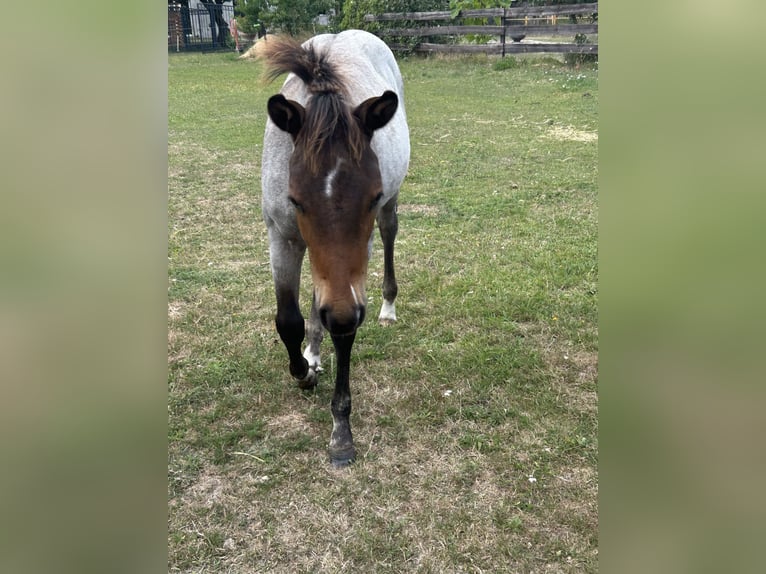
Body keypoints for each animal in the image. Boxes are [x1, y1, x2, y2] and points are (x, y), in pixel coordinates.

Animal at [256, 30, 410, 467]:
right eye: (295, 200)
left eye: (371, 197)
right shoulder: (283, 237)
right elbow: (288, 319)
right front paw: (304, 369)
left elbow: (343, 325)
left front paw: (341, 431)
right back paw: (312, 351)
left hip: (389, 216)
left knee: (390, 234)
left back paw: (388, 306)